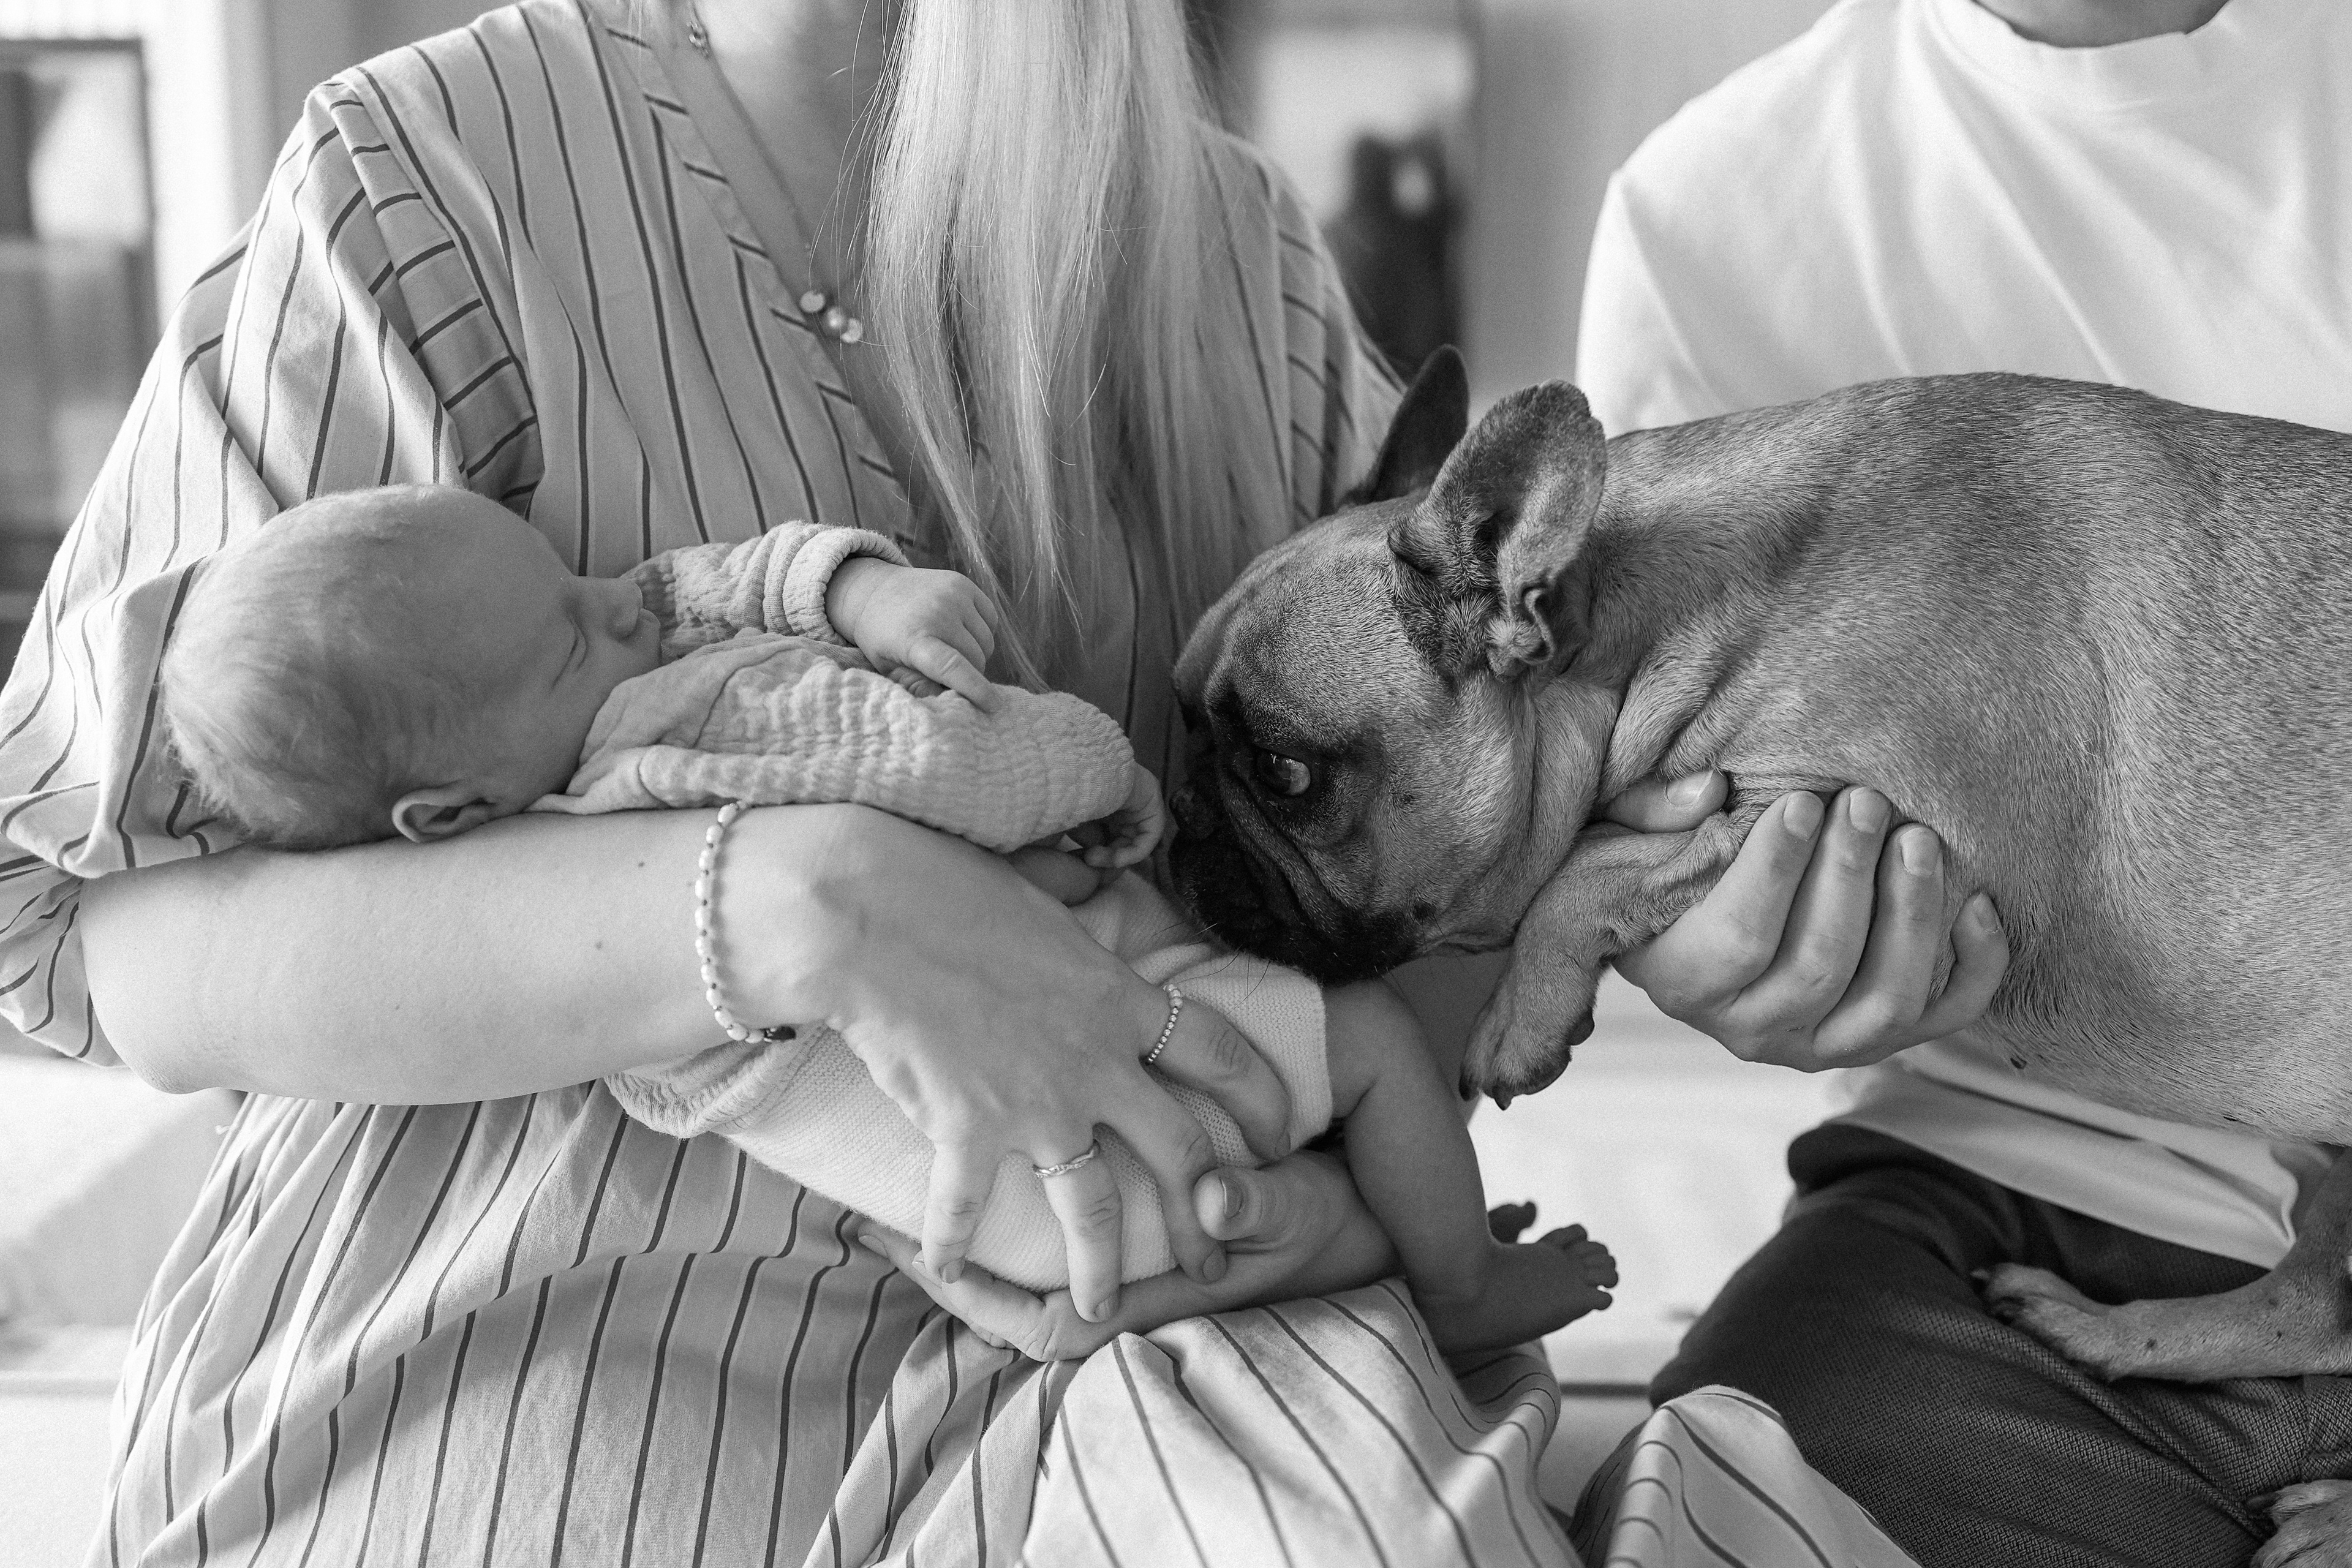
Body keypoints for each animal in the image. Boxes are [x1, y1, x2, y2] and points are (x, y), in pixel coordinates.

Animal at [1168, 348, 2352, 1393]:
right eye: (1176, 718)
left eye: (1283, 770)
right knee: (2313, 1310)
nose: (1180, 827)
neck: (1657, 617)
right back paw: (2108, 1337)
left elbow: (1586, 868)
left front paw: (1519, 1020)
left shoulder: (1851, 807)